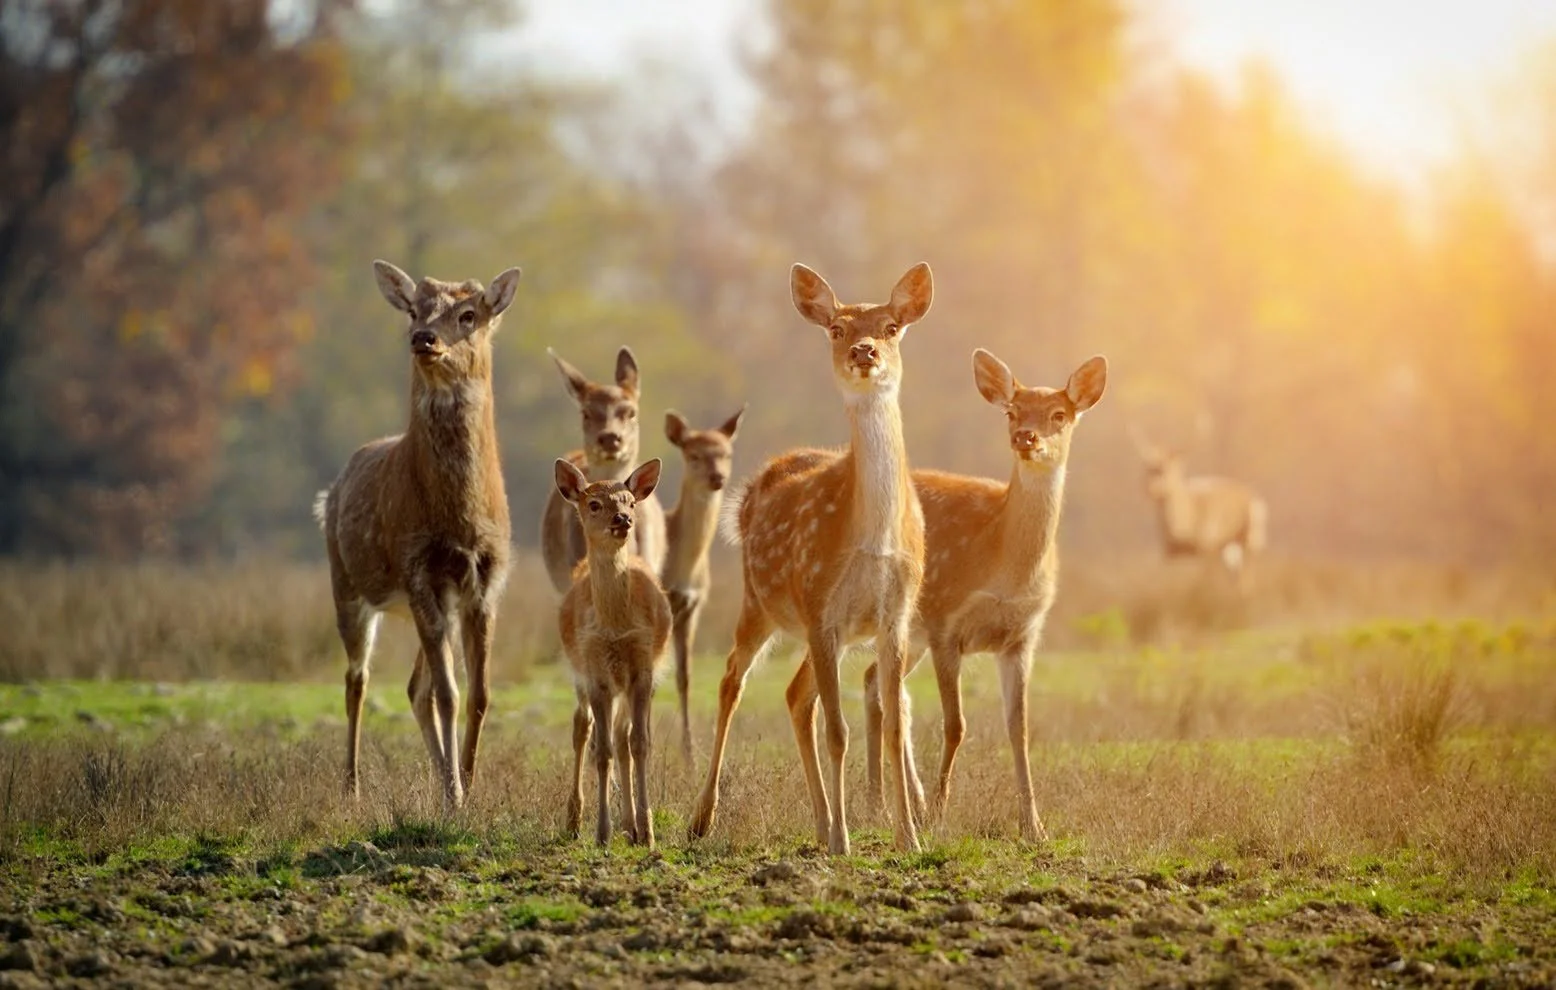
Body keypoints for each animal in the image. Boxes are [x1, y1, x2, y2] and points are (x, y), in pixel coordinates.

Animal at [314, 259, 520, 811]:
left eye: (469, 314)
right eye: (413, 309)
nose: (424, 338)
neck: (460, 520)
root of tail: (332, 489)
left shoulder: (486, 583)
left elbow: (479, 693)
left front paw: (465, 781)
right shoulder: (418, 568)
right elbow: (449, 693)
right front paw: (455, 795)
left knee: (413, 688)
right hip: (347, 582)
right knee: (357, 680)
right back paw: (351, 785)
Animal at [555, 457, 672, 848]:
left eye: (630, 501)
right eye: (594, 504)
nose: (623, 519)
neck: (615, 627)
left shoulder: (643, 667)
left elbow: (639, 744)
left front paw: (647, 832)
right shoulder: (596, 671)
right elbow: (601, 750)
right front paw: (601, 834)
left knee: (622, 738)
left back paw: (630, 826)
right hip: (580, 673)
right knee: (582, 728)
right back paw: (574, 820)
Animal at [688, 262, 934, 855]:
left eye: (891, 327)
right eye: (836, 328)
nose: (864, 351)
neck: (873, 538)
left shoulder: (893, 616)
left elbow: (893, 724)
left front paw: (909, 839)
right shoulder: (821, 603)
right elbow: (839, 730)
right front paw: (846, 840)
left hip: (817, 628)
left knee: (796, 695)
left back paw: (820, 823)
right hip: (761, 602)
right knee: (731, 681)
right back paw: (702, 818)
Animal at [860, 349, 1107, 843]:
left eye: (1060, 414)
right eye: (1011, 411)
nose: (1025, 436)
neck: (1003, 564)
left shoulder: (1021, 638)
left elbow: (1020, 728)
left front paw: (1034, 825)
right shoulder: (945, 624)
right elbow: (956, 725)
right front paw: (939, 815)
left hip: (909, 635)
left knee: (875, 683)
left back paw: (898, 803)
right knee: (881, 689)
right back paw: (888, 805)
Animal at [1129, 426, 1267, 581]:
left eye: (1168, 468)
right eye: (1146, 467)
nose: (1151, 488)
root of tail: (1255, 498)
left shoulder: (1207, 546)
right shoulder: (1170, 553)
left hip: (1252, 539)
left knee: (1246, 574)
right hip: (1230, 548)